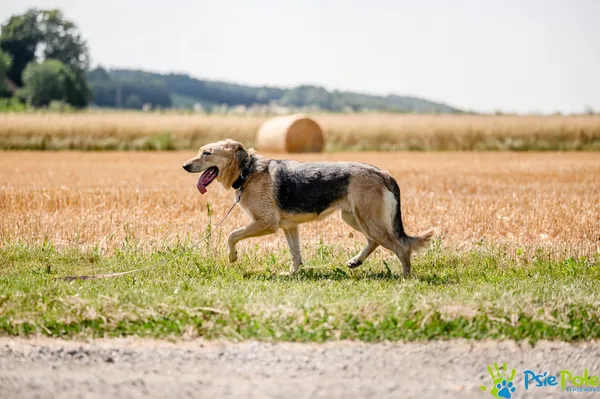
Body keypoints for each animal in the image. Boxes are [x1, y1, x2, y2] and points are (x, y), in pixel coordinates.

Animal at [183, 140, 432, 276]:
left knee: (401, 247)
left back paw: (405, 277)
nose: (184, 166)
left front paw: (233, 257)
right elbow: (296, 254)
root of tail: (382, 173)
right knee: (374, 242)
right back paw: (356, 261)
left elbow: (231, 235)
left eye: (206, 153)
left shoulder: (266, 224)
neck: (246, 171)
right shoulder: (289, 227)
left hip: (369, 220)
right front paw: (292, 274)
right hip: (355, 219)